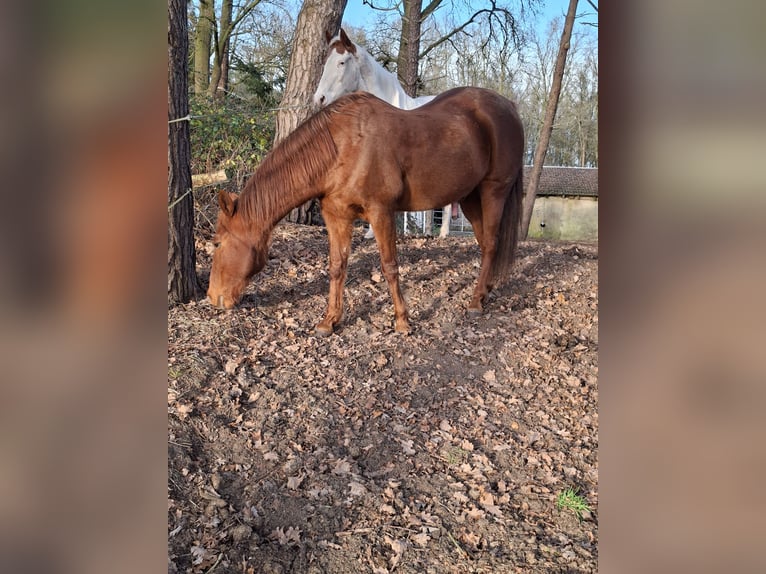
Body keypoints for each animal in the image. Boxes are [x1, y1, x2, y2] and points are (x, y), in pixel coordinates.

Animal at [207, 87, 525, 336]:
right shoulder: (336, 216)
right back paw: (485, 291)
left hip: (493, 191)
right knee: (485, 245)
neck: (341, 147)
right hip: (470, 197)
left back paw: (475, 302)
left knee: (491, 244)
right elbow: (337, 266)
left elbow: (389, 266)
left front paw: (402, 321)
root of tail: (508, 106)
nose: (213, 298)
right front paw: (329, 321)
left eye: (217, 243)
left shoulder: (381, 212)